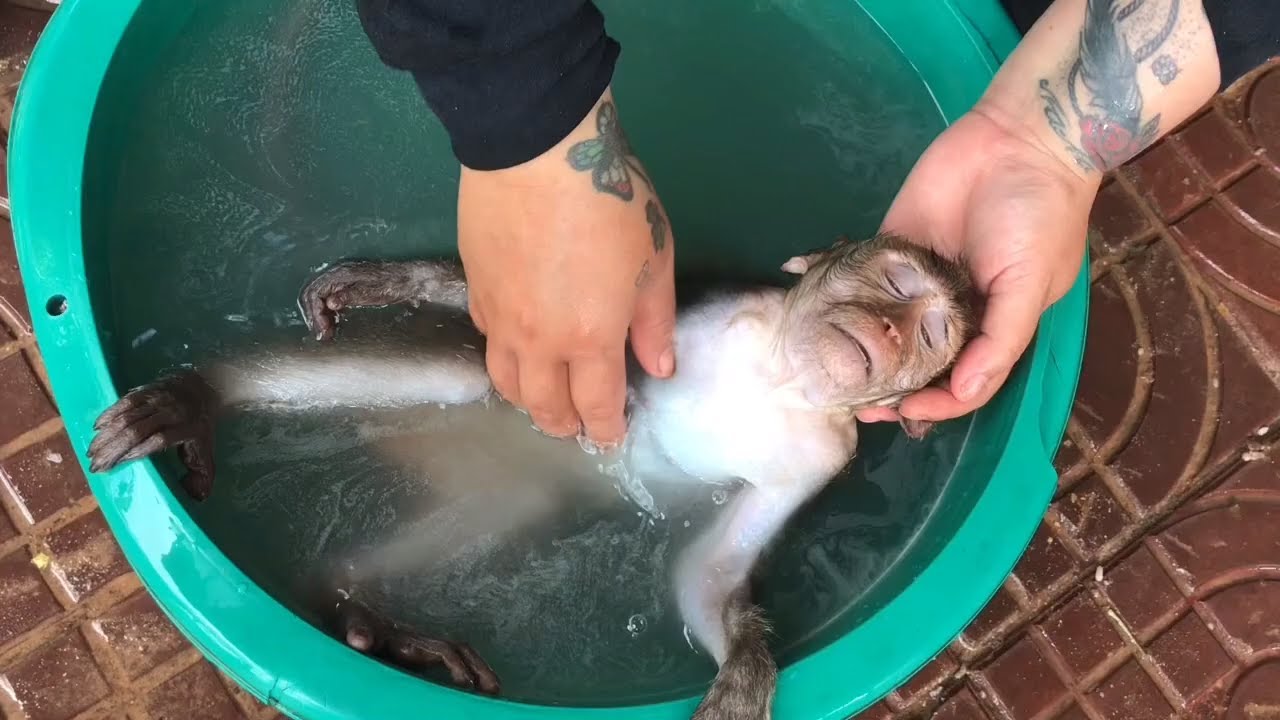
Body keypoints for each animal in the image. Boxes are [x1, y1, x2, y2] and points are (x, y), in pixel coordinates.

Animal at [85, 232, 976, 720]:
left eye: (932, 332)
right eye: (896, 283)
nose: (890, 333)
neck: (781, 376)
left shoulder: (819, 464)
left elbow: (709, 572)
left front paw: (742, 675)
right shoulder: (716, 305)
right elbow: (574, 323)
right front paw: (397, 282)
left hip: (504, 471)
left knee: (513, 497)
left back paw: (357, 611)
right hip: (498, 407)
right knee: (456, 376)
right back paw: (202, 399)